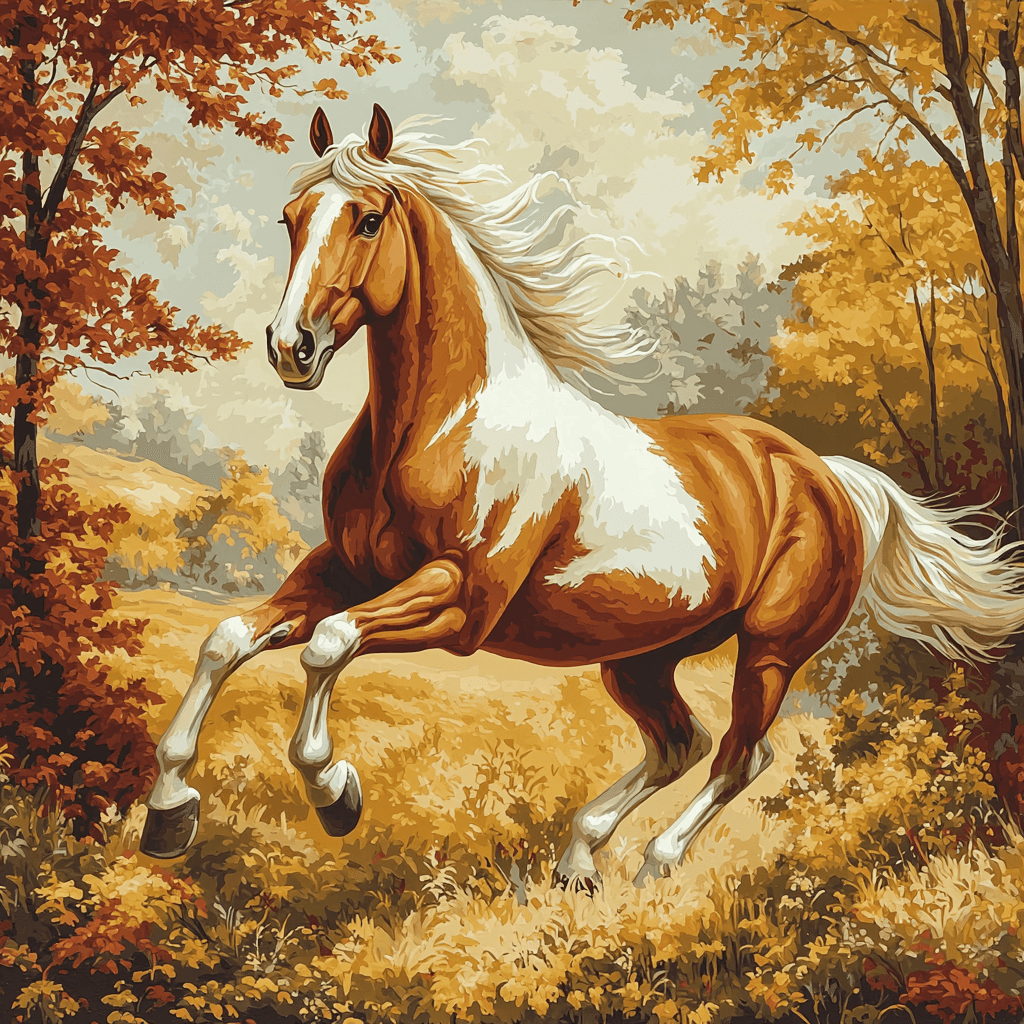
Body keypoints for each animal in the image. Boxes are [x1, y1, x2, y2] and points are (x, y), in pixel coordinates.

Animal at [140, 104, 1024, 889]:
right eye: (291, 217)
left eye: (366, 220)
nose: (291, 348)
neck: (442, 424)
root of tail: (825, 474)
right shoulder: (342, 570)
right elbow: (227, 639)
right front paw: (168, 812)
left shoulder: (460, 599)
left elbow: (327, 645)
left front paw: (335, 794)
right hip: (640, 657)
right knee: (684, 744)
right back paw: (577, 861)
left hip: (771, 649)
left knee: (739, 755)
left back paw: (652, 864)